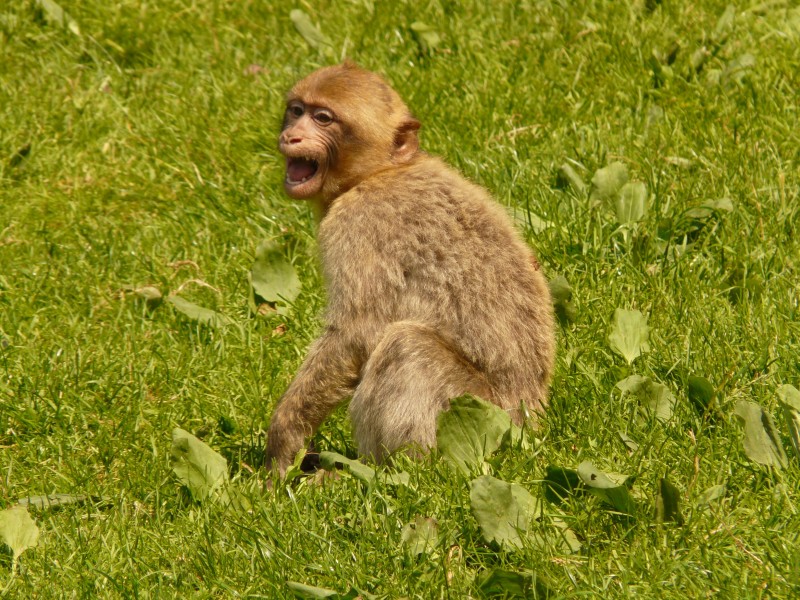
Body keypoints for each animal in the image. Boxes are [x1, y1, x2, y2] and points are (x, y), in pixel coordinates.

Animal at [266, 61, 552, 474]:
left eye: (323, 118)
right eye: (296, 110)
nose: (291, 135)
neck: (379, 173)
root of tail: (531, 418)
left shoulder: (356, 222)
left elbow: (354, 335)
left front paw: (283, 439)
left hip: (481, 414)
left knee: (407, 346)